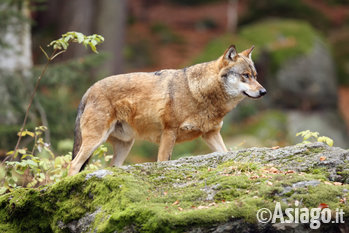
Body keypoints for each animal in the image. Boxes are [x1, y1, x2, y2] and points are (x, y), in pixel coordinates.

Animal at [68, 44, 266, 175]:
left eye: (255, 76)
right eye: (245, 76)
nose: (264, 91)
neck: (200, 93)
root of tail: (88, 90)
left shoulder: (211, 134)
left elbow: (226, 153)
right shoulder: (169, 132)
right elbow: (163, 162)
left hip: (125, 145)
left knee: (111, 167)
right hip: (95, 141)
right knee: (74, 164)